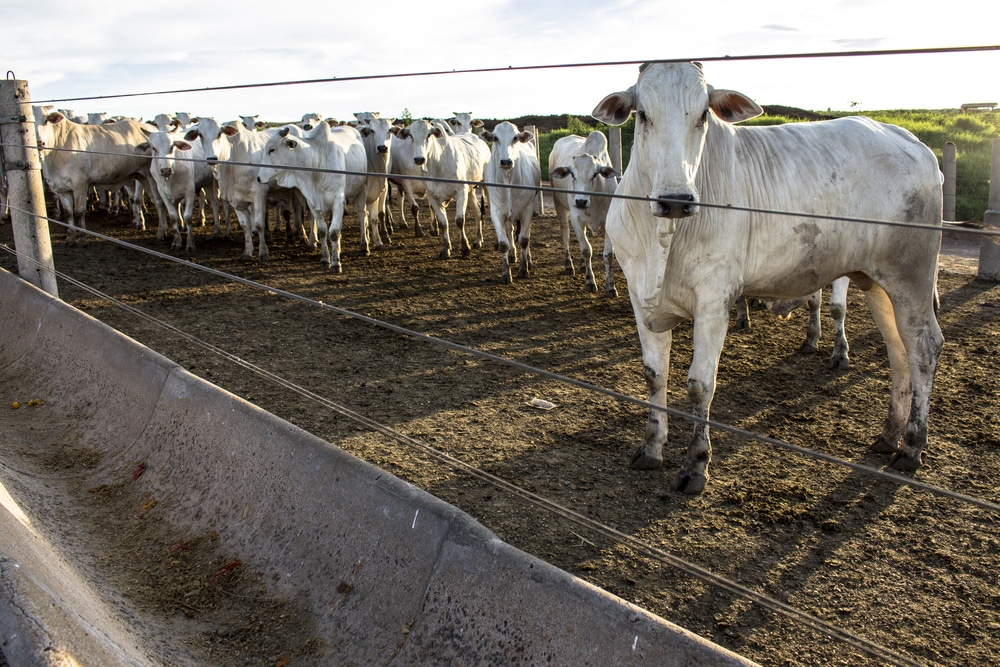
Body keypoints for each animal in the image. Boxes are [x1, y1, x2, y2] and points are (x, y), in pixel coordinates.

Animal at [256, 124, 370, 272]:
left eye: (272, 149)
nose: (258, 178)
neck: (317, 166)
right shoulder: (312, 202)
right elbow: (323, 231)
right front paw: (325, 259)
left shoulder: (338, 200)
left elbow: (333, 232)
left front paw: (336, 263)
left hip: (361, 190)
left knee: (362, 215)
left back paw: (364, 246)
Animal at [398, 117, 492, 258]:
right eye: (411, 136)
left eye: (429, 135)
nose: (419, 159)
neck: (438, 163)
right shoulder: (433, 196)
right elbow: (443, 223)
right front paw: (446, 249)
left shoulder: (460, 192)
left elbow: (459, 220)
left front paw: (465, 247)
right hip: (470, 191)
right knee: (478, 212)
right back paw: (478, 240)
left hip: (485, 185)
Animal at [482, 121, 544, 284]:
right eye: (495, 138)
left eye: (515, 138)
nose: (505, 161)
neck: (508, 179)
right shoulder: (496, 212)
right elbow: (503, 243)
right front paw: (505, 273)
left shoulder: (527, 210)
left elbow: (524, 239)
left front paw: (523, 269)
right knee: (510, 230)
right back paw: (512, 254)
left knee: (525, 234)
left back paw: (528, 260)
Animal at [548, 130, 616, 298]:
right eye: (572, 174)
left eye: (595, 174)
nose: (580, 201)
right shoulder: (576, 219)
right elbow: (587, 250)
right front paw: (590, 281)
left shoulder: (608, 221)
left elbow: (608, 255)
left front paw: (610, 286)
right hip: (559, 206)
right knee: (565, 234)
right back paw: (569, 264)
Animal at [592, 61, 944, 496]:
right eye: (642, 114)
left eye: (703, 115)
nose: (676, 200)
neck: (661, 238)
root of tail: (909, 139)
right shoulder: (640, 297)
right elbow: (654, 375)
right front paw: (651, 448)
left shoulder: (714, 301)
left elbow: (699, 384)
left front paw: (696, 465)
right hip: (877, 282)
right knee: (899, 350)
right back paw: (888, 435)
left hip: (912, 275)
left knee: (924, 347)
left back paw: (912, 446)